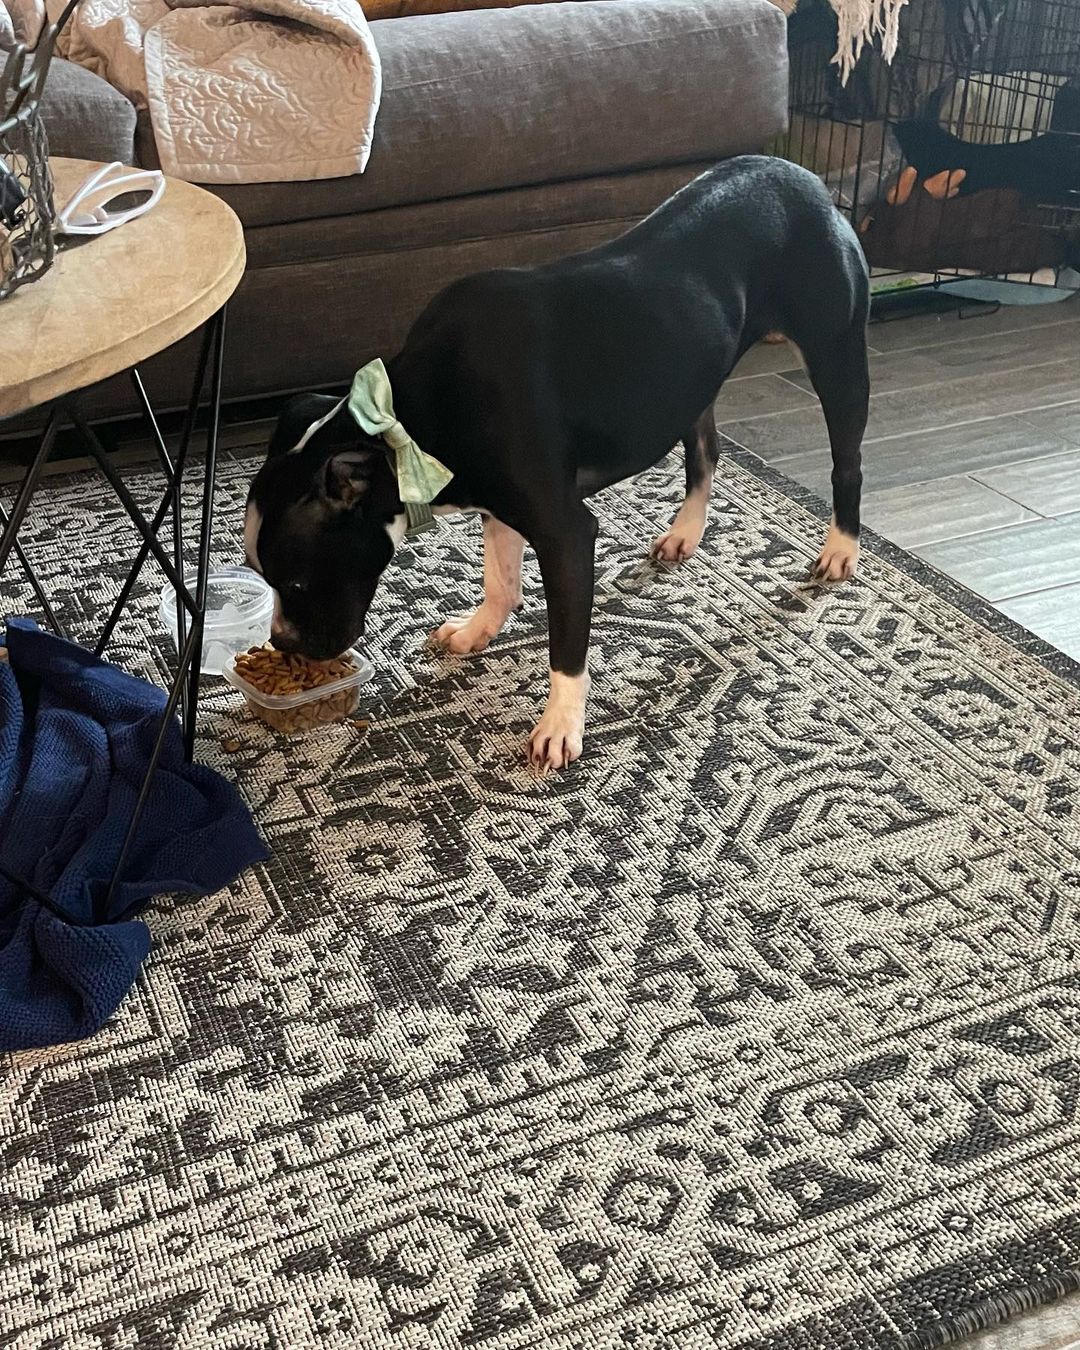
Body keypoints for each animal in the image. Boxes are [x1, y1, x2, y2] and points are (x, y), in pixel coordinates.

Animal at [244, 156, 869, 772]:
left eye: (296, 582)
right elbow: (499, 581)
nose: (283, 644)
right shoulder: (498, 506)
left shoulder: (565, 532)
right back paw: (684, 534)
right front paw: (477, 632)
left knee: (847, 464)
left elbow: (566, 645)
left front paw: (560, 726)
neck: (416, 417)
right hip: (691, 380)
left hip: (836, 355)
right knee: (704, 451)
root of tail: (806, 178)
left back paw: (840, 548)